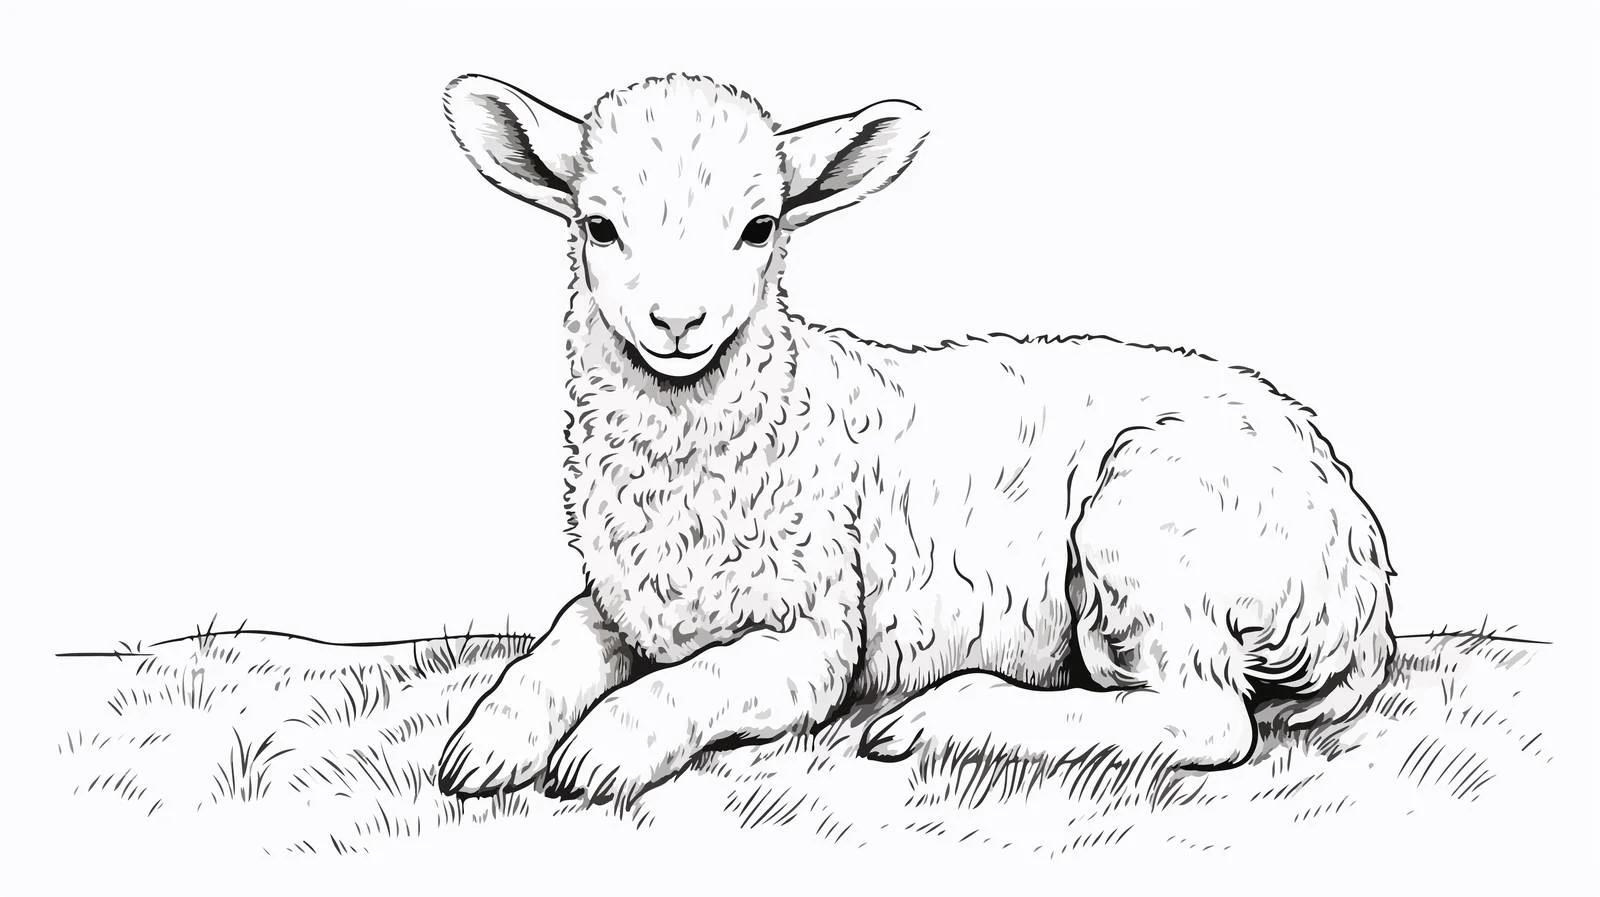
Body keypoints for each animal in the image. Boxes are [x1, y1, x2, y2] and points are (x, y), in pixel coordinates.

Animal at [435, 73, 1395, 804]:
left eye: (760, 228)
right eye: (598, 226)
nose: (677, 322)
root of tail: (1358, 577)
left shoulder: (813, 634)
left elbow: (695, 680)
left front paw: (601, 751)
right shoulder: (623, 602)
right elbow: (554, 647)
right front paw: (486, 744)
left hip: (1149, 531)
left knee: (1204, 718)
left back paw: (938, 717)